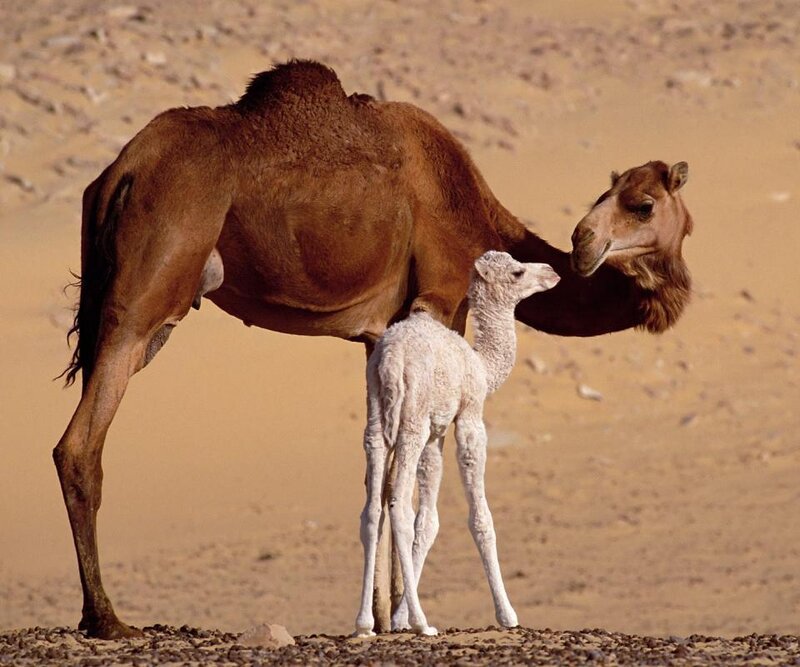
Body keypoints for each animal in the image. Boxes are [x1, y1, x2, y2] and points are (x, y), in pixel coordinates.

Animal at [355, 252, 560, 637]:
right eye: (517, 271)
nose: (553, 272)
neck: (481, 364)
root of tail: (391, 359)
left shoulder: (436, 434)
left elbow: (429, 522)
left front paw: (400, 618)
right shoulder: (468, 418)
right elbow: (481, 518)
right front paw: (507, 614)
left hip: (376, 418)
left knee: (372, 509)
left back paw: (363, 623)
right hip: (412, 420)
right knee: (398, 506)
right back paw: (424, 624)